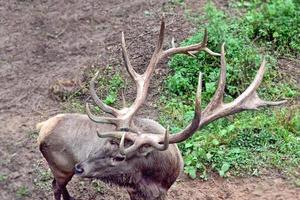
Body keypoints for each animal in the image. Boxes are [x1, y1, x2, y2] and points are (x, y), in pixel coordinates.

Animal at [37, 17, 286, 200]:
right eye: (103, 145)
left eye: (119, 156)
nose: (80, 167)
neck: (158, 177)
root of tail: (41, 129)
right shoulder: (135, 190)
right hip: (60, 167)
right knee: (55, 186)